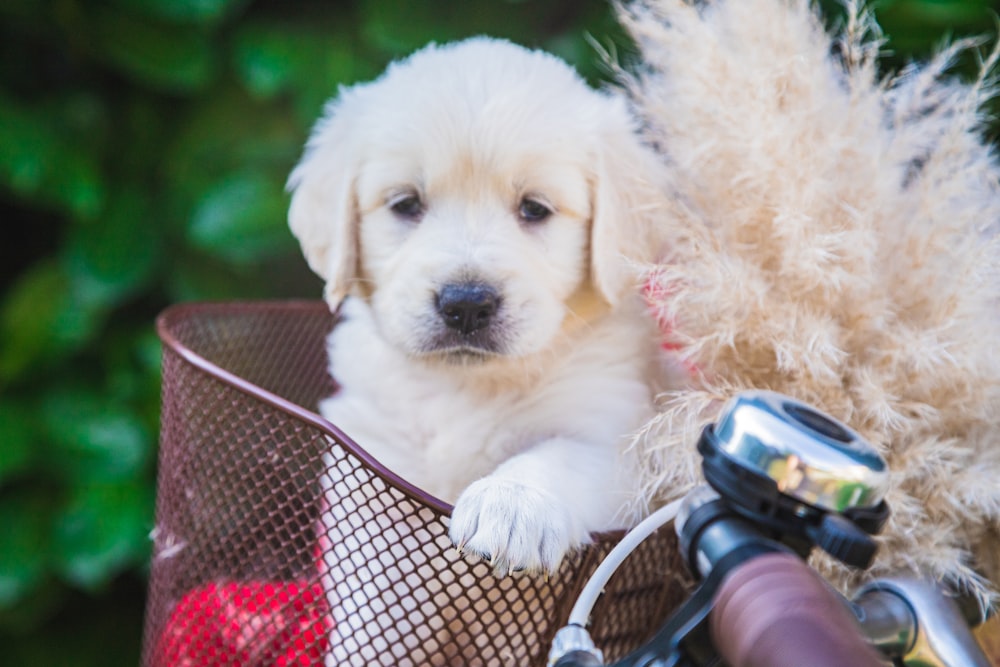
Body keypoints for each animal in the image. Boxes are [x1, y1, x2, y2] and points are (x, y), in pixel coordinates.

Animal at [286, 37, 668, 667]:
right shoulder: (373, 472)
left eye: (534, 209)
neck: (467, 387)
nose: (466, 304)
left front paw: (509, 505)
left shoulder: (620, 445)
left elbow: (555, 456)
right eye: (406, 204)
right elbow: (379, 606)